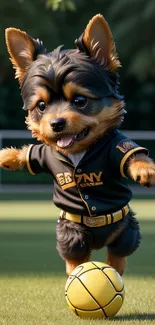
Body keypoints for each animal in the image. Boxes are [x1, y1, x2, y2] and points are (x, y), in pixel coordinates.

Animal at [1, 13, 155, 274]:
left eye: (80, 101)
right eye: (41, 106)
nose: (56, 123)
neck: (77, 152)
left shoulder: (116, 147)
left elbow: (133, 155)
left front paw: (144, 169)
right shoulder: (43, 154)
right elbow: (30, 152)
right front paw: (7, 157)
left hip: (125, 230)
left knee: (118, 254)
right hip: (70, 233)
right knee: (76, 257)